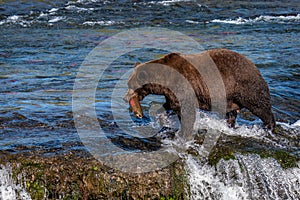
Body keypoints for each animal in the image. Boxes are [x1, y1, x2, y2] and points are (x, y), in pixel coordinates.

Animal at [125, 48, 276, 130]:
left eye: (130, 85)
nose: (125, 97)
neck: (164, 79)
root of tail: (254, 66)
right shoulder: (172, 93)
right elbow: (169, 105)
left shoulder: (184, 85)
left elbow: (186, 110)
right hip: (230, 96)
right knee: (232, 113)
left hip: (245, 85)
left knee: (260, 106)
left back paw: (269, 126)